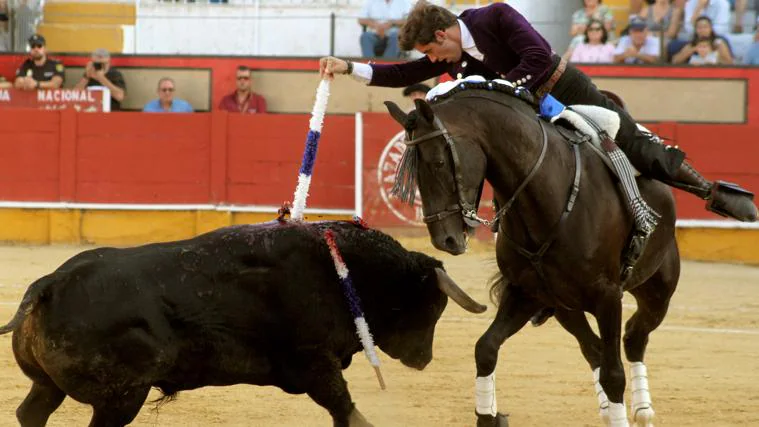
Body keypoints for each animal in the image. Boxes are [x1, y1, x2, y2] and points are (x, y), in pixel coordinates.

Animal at [0, 221, 486, 427]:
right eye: (433, 306)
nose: (423, 359)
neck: (342, 268)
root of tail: (49, 283)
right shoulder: (314, 362)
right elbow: (346, 409)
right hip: (121, 397)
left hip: (51, 385)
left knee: (31, 413)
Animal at [386, 83, 684, 427]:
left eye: (437, 162)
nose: (444, 239)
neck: (547, 196)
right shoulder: (526, 292)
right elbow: (485, 348)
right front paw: (489, 416)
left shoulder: (608, 296)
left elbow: (613, 374)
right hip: (566, 303)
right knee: (593, 347)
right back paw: (612, 408)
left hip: (657, 290)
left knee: (634, 337)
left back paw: (643, 410)